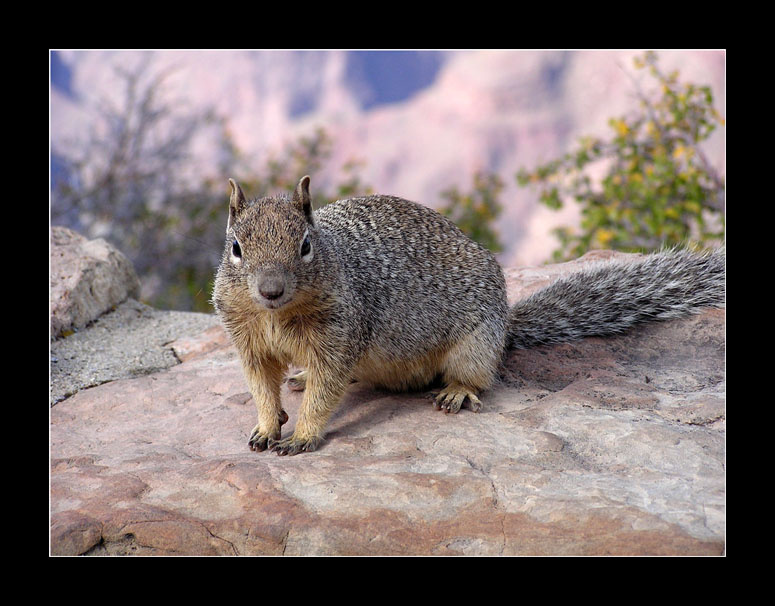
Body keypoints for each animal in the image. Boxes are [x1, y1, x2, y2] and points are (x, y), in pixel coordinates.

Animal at [212, 176, 725, 456]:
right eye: (235, 248)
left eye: (305, 246)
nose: (271, 289)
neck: (277, 317)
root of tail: (507, 325)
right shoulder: (248, 343)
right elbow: (261, 387)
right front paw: (266, 426)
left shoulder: (339, 337)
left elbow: (325, 393)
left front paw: (301, 436)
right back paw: (297, 378)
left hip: (475, 344)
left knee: (477, 376)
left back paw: (457, 392)